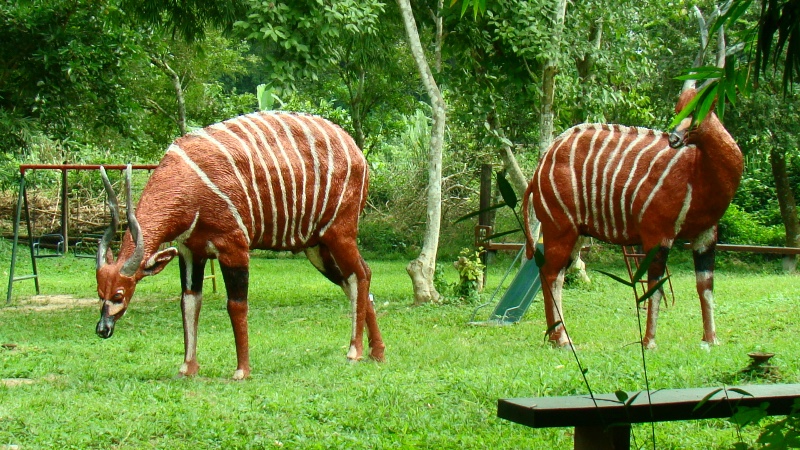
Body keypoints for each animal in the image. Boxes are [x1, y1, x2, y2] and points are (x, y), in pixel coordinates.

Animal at [97, 112, 384, 380]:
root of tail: (357, 152)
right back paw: (377, 352)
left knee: (360, 275)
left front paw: (242, 371)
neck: (188, 183)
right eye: (100, 292)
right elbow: (189, 301)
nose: (102, 329)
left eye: (119, 294)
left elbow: (236, 305)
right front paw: (187, 369)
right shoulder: (190, 252)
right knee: (356, 278)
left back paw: (354, 352)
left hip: (340, 234)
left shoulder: (233, 247)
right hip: (317, 247)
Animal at [524, 62, 744, 348]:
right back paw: (561, 339)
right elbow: (654, 286)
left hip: (576, 235)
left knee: (554, 274)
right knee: (550, 274)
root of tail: (539, 168)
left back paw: (557, 337)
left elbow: (705, 285)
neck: (697, 170)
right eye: (679, 109)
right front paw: (649, 341)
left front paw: (711, 340)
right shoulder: (657, 236)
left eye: (697, 107)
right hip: (560, 230)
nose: (674, 138)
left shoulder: (706, 235)